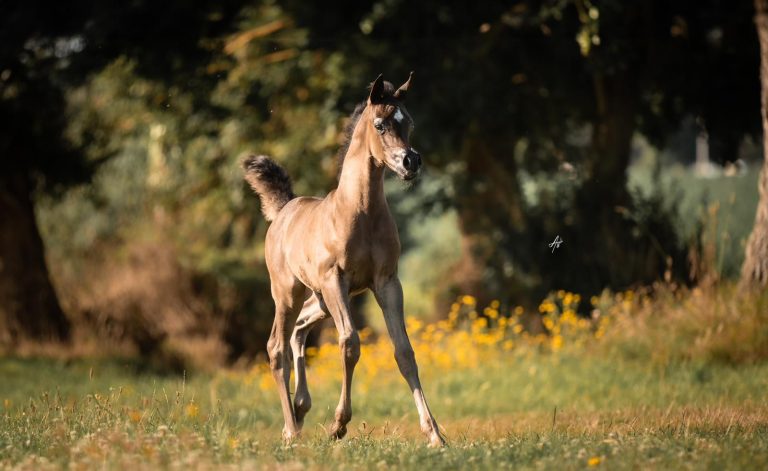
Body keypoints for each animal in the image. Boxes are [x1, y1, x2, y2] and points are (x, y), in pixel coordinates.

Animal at [242, 73, 445, 447]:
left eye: (408, 123)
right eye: (380, 124)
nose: (411, 162)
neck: (360, 212)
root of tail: (283, 209)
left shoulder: (387, 282)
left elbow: (404, 352)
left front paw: (434, 434)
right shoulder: (335, 279)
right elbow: (349, 343)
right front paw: (338, 425)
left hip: (320, 299)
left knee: (299, 331)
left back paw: (300, 408)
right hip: (289, 292)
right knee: (276, 346)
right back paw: (292, 430)